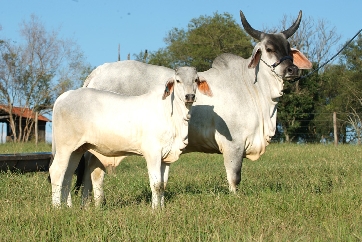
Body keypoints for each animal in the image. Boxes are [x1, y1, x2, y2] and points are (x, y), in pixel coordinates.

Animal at [48, 66, 212, 208]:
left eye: (196, 80)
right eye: (178, 80)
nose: (190, 96)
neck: (174, 116)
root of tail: (64, 96)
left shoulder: (166, 156)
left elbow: (163, 185)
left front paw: (162, 208)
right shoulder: (152, 153)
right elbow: (156, 184)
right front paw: (155, 210)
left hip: (77, 149)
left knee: (67, 176)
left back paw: (68, 207)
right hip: (64, 147)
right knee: (56, 172)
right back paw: (57, 207)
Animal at [75, 10, 312, 205]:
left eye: (289, 49)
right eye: (269, 48)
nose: (292, 70)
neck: (252, 88)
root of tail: (97, 73)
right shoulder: (233, 145)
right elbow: (234, 178)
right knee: (94, 172)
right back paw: (96, 204)